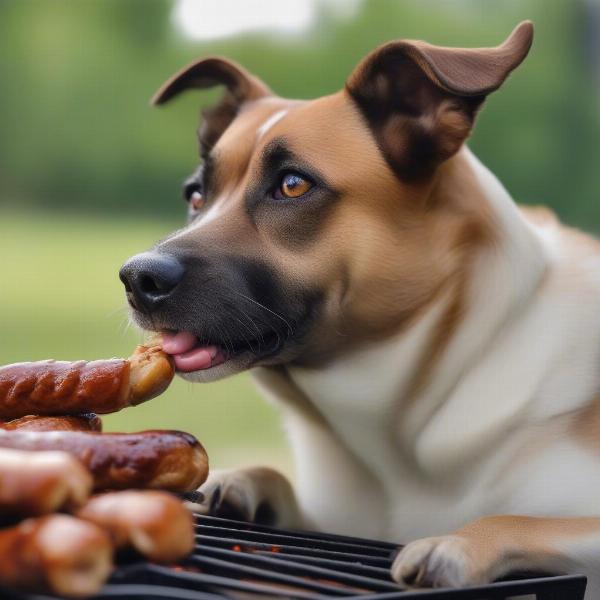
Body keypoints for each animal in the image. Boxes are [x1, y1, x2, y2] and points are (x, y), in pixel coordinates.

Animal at [118, 21, 600, 592]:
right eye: (196, 195)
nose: (137, 278)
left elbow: (521, 518)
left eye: (293, 184)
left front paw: (455, 544)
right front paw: (242, 484)